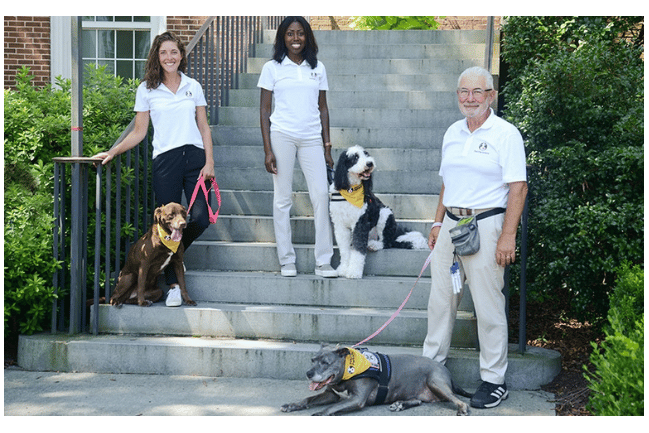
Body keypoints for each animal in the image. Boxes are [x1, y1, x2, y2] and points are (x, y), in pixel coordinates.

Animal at [280, 344, 468, 416]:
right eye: (312, 360)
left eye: (325, 363)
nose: (308, 373)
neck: (347, 372)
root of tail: (445, 369)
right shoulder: (331, 394)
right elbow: (308, 399)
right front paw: (292, 405)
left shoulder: (357, 398)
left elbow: (331, 407)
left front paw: (319, 414)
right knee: (418, 400)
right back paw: (400, 404)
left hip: (435, 383)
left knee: (458, 400)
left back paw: (462, 409)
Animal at [330, 145, 430, 278]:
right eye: (355, 157)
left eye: (366, 154)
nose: (370, 163)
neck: (350, 190)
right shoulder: (340, 225)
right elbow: (344, 249)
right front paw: (343, 268)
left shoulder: (361, 223)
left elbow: (358, 249)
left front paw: (354, 271)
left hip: (384, 214)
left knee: (386, 242)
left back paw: (374, 245)